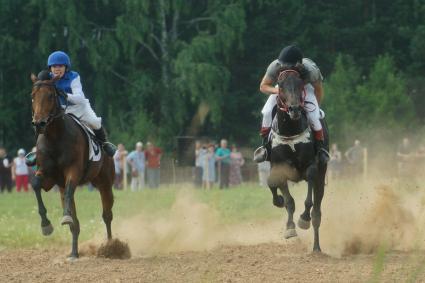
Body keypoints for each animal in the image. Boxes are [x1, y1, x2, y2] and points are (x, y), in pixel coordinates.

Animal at [30, 74, 114, 260]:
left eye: (50, 95)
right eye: (32, 96)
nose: (39, 124)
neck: (55, 137)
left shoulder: (73, 171)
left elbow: (70, 190)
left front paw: (64, 218)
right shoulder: (48, 176)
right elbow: (36, 184)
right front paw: (45, 225)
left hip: (105, 183)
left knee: (107, 215)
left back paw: (112, 246)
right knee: (75, 223)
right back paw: (74, 252)